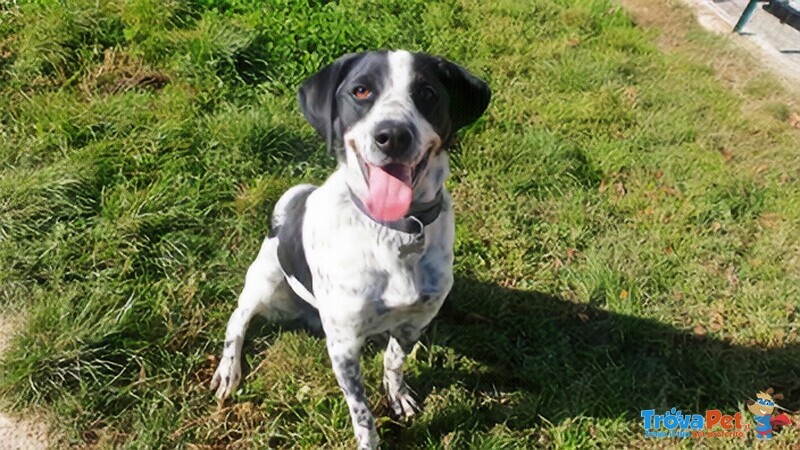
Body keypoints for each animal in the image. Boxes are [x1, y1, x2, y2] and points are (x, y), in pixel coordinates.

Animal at [209, 50, 490, 450]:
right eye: (361, 90)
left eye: (427, 93)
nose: (392, 136)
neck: (394, 230)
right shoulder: (342, 347)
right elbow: (362, 412)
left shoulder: (415, 322)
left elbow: (393, 361)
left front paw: (397, 395)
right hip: (265, 282)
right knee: (237, 320)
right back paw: (228, 369)